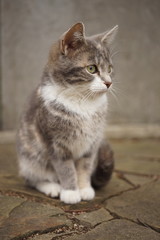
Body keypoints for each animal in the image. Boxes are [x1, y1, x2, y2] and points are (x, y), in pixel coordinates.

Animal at [16, 22, 118, 203]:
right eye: (91, 68)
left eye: (110, 69)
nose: (109, 83)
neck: (83, 103)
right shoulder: (56, 144)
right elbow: (66, 169)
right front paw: (70, 192)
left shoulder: (91, 144)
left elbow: (84, 167)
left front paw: (84, 189)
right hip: (30, 158)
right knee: (33, 178)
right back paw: (52, 187)